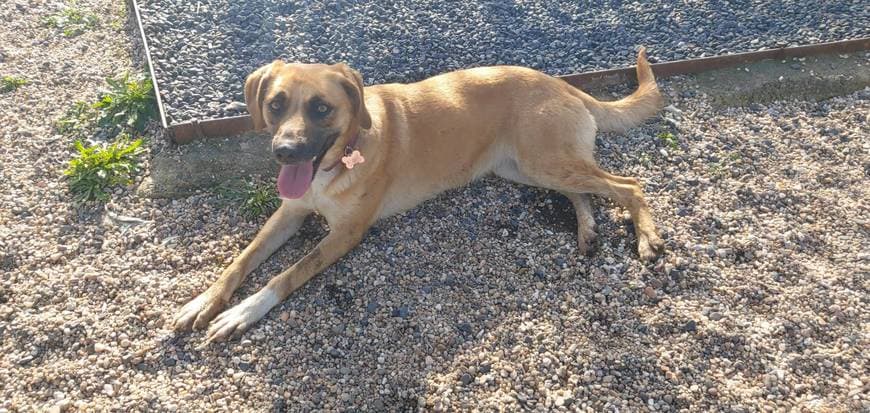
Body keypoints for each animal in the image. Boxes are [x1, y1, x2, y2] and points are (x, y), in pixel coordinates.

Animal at [175, 47, 668, 342]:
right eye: (276, 104)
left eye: (321, 108)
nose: (285, 151)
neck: (339, 159)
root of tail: (562, 82)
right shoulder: (289, 213)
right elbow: (239, 261)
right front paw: (202, 301)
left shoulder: (345, 235)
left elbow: (285, 275)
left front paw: (243, 312)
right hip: (528, 168)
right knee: (583, 193)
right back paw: (587, 231)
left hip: (543, 161)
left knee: (628, 186)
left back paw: (647, 237)